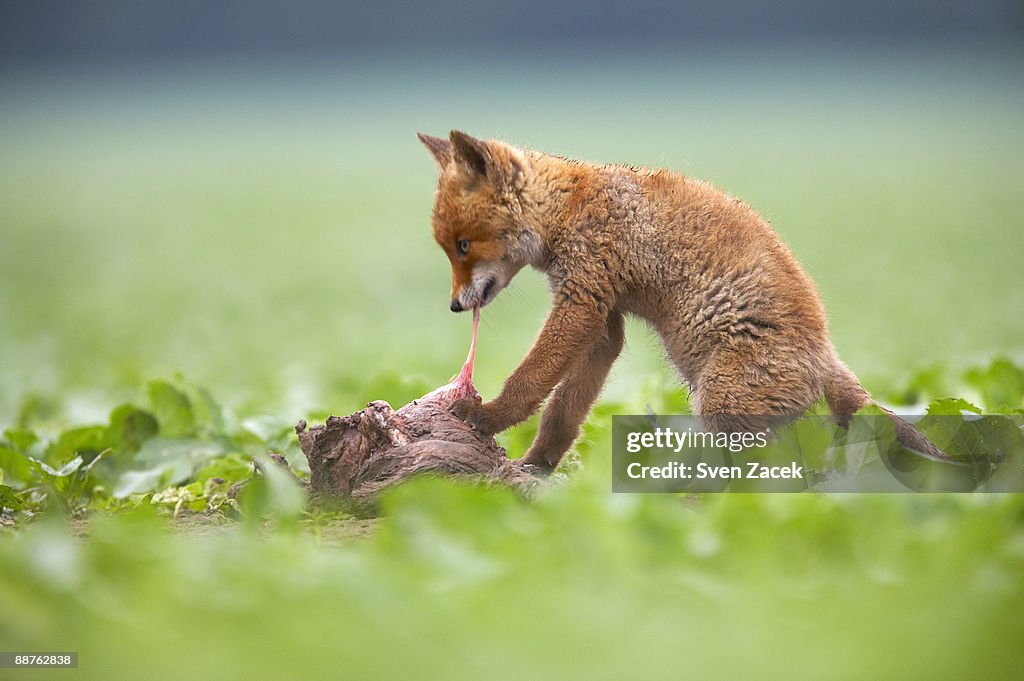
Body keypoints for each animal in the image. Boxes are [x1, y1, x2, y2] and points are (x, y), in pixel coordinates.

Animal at [417, 130, 948, 472]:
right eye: (447, 249)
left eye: (463, 246)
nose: (455, 307)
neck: (571, 208)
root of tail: (825, 356)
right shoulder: (602, 323)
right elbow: (563, 413)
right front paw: (538, 467)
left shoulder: (582, 301)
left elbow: (528, 382)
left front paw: (487, 419)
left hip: (723, 406)